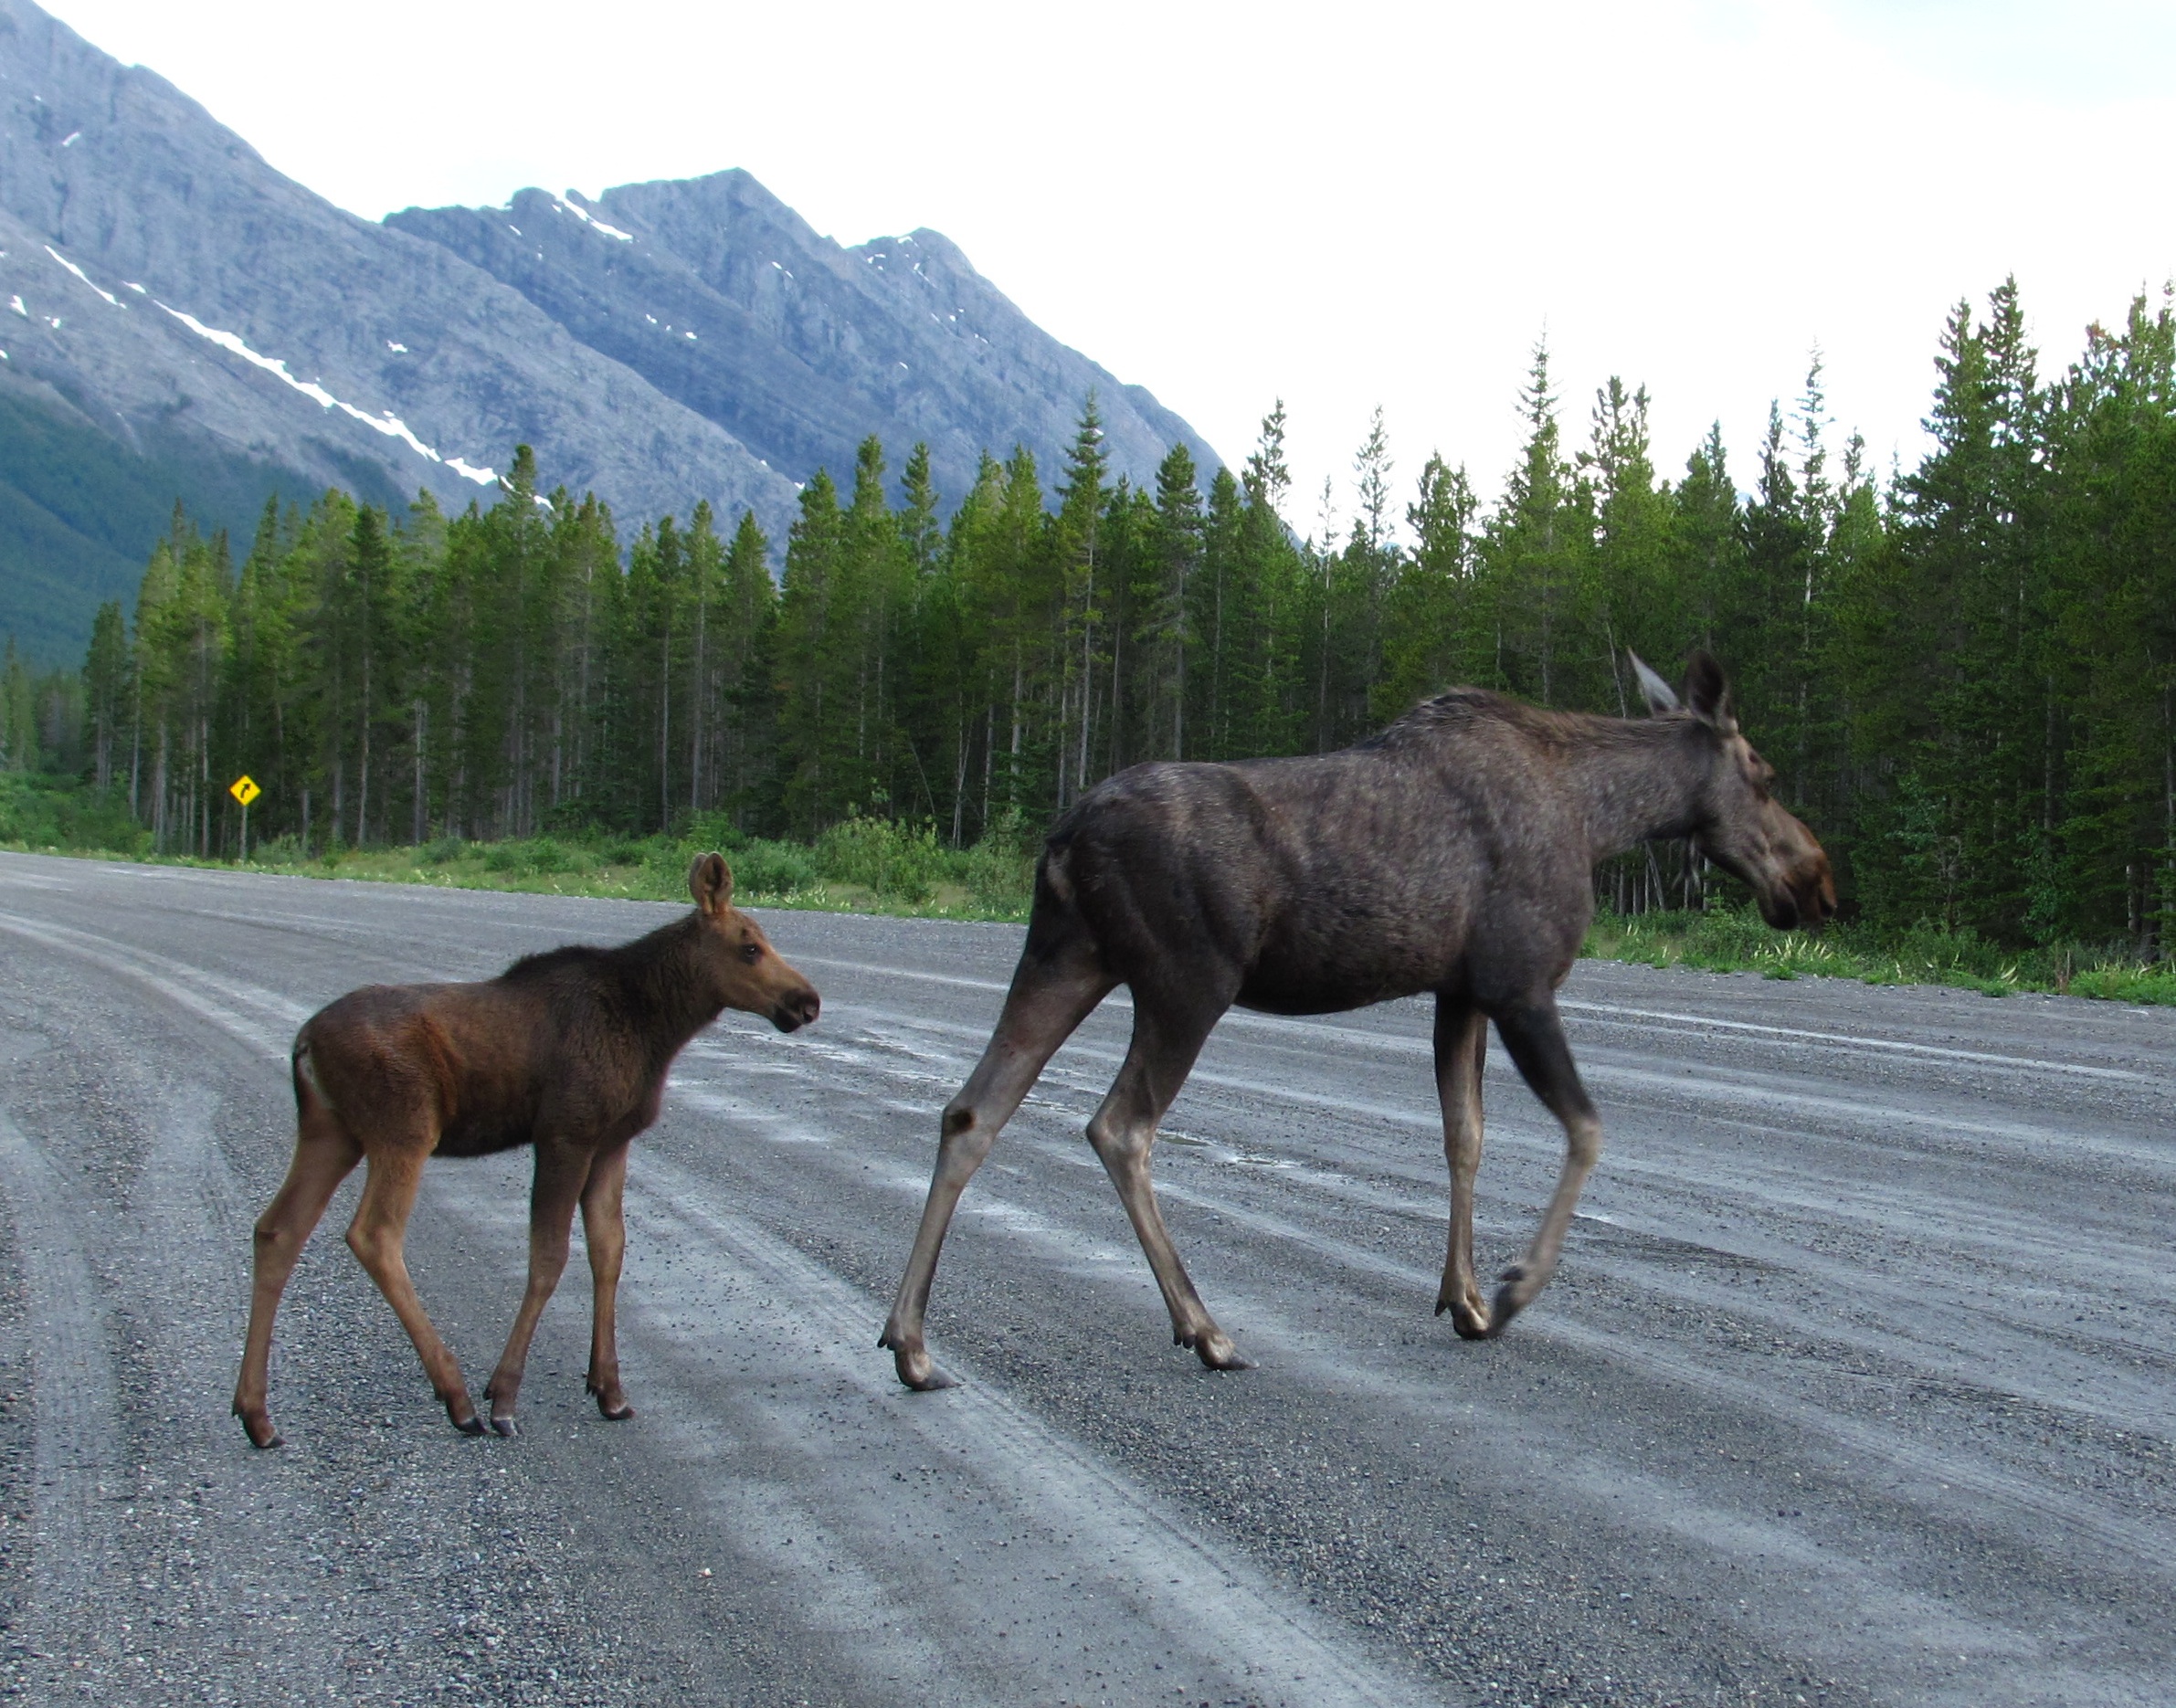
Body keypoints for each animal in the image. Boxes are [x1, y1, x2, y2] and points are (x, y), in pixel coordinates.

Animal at [231, 852, 818, 1436]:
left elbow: (610, 1251)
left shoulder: (612, 1142)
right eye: (749, 947)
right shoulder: (565, 1133)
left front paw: (610, 1390)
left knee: (278, 1229)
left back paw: (255, 1413)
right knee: (373, 1234)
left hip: (331, 1132)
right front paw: (505, 1396)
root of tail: (304, 1041)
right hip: (404, 1129)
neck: (655, 1027)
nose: (808, 1001)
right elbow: (549, 1257)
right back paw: (457, 1396)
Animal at [874, 652, 1827, 1384]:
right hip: (1186, 980)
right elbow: (1586, 1128)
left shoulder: (1459, 990)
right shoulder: (1521, 980)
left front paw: (1463, 1297)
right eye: (1765, 774)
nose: (1816, 881)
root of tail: (1063, 839)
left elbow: (1464, 1135)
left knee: (973, 1110)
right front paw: (1514, 1287)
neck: (1601, 817)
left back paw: (911, 1342)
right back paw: (1205, 1328)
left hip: (1066, 956)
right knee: (1118, 1126)